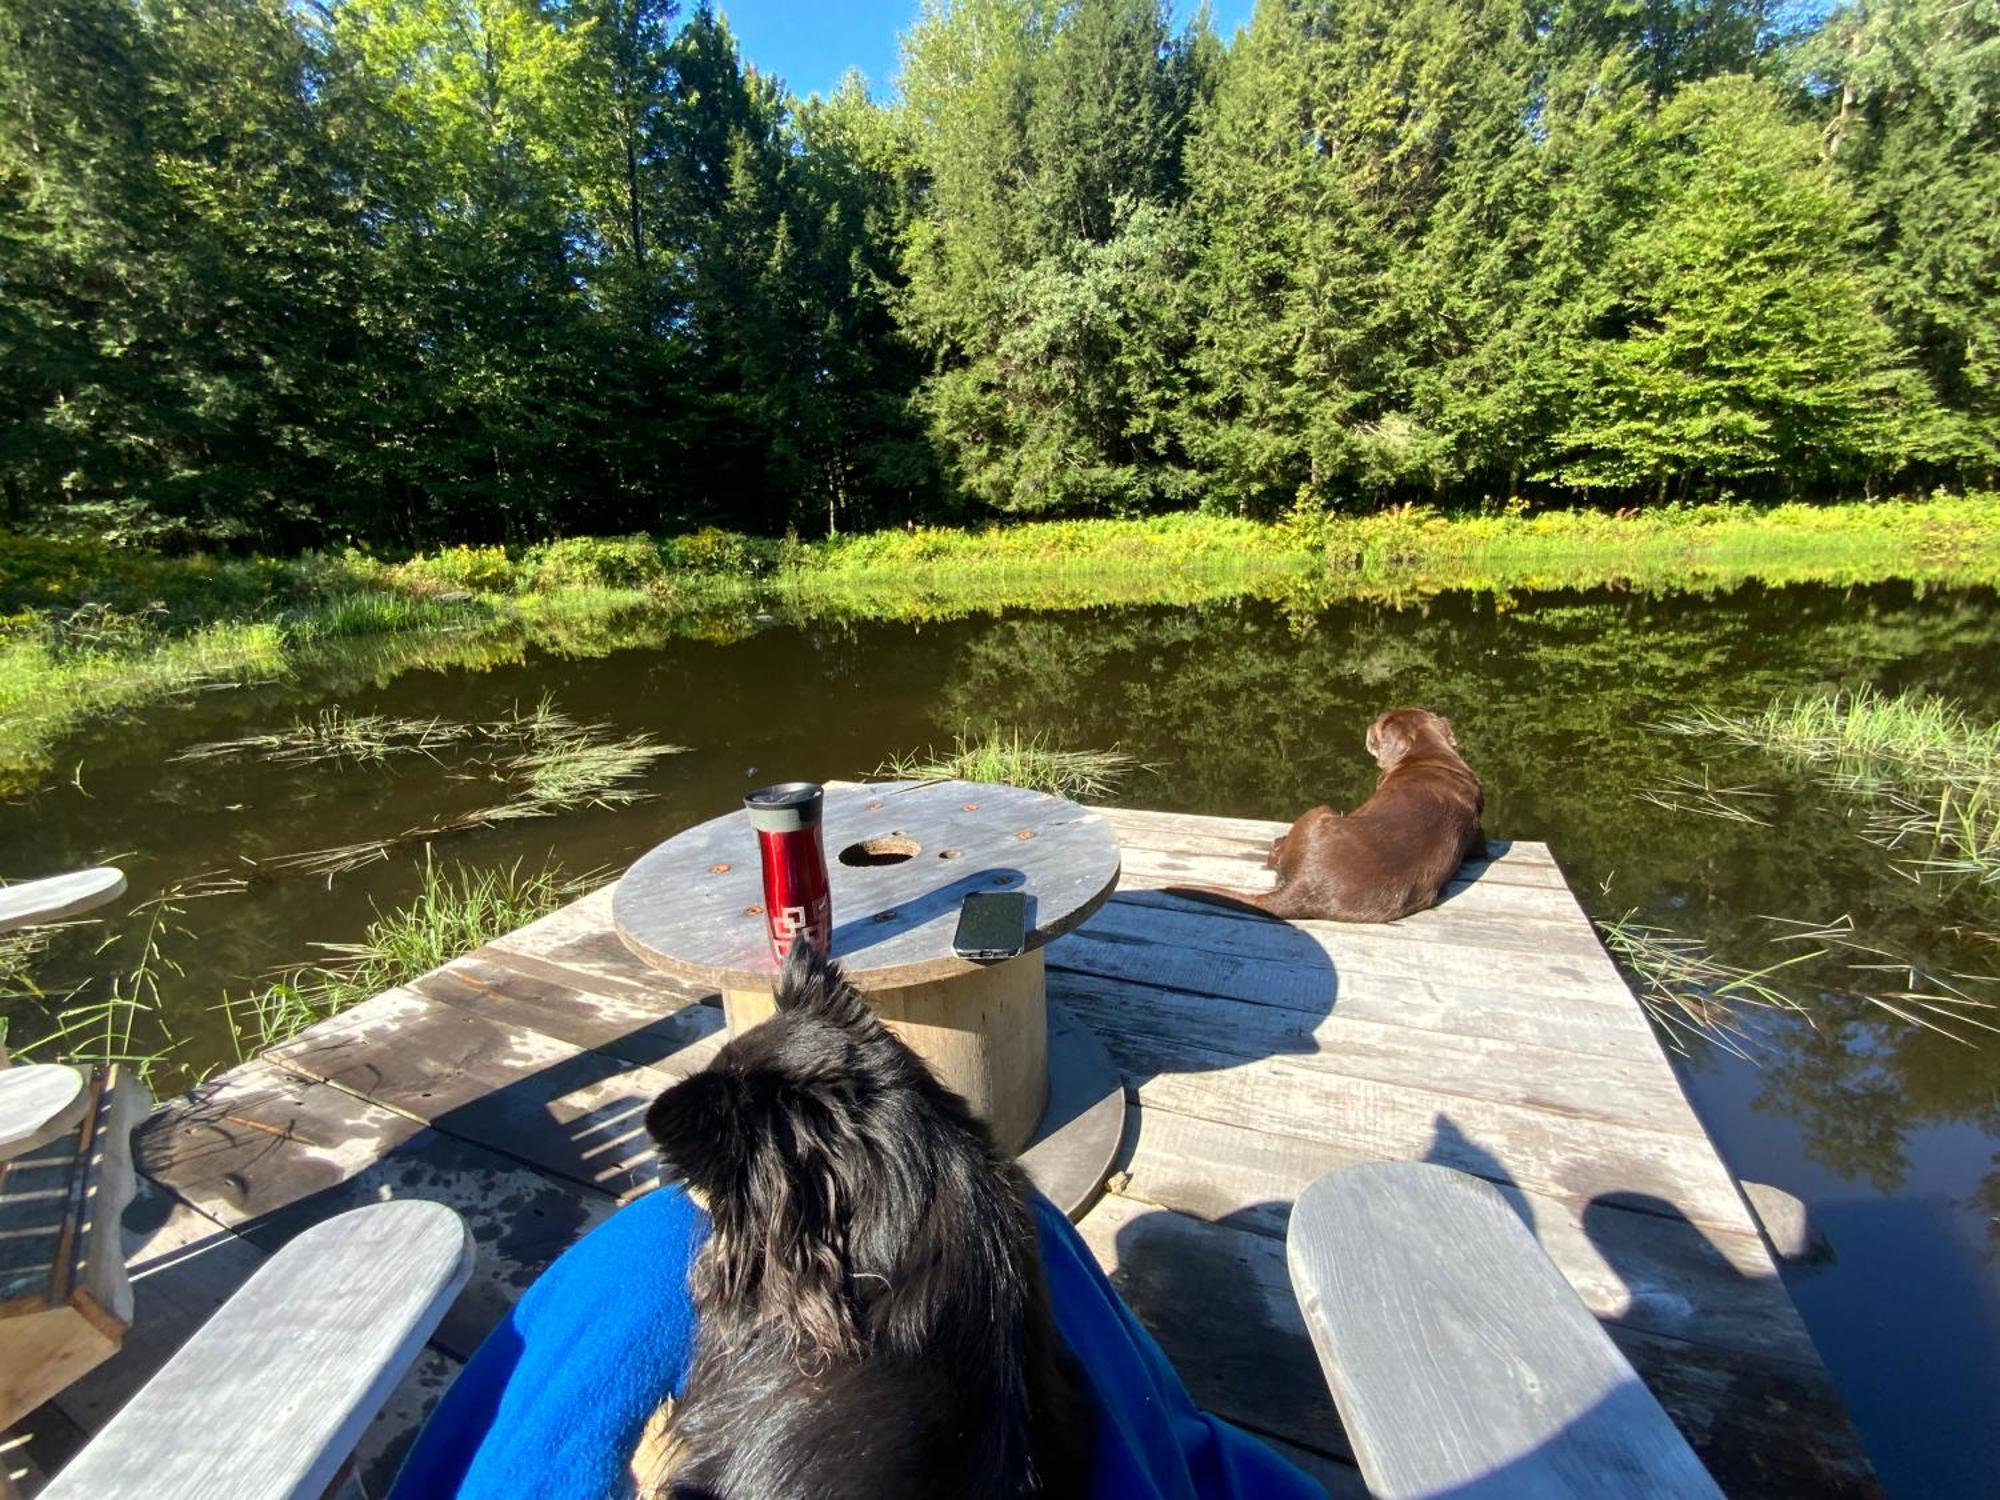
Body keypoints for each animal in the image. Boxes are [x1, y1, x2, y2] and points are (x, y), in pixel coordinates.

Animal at [1168, 708, 1488, 928]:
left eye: (1379, 725)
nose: (1369, 724)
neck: (1430, 758)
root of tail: (1301, 888)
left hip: (1320, 810)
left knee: (1277, 857)